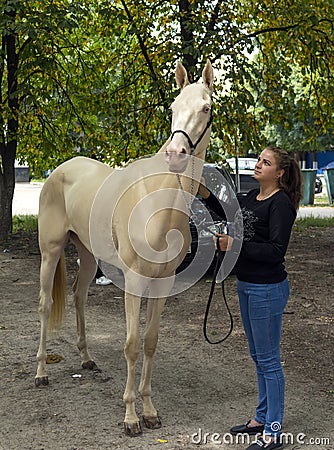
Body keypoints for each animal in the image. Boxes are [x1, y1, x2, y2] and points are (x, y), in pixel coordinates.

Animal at [35, 59, 215, 436]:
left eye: (206, 108)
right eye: (173, 107)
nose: (175, 155)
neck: (158, 201)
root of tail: (61, 169)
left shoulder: (162, 283)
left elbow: (150, 342)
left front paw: (149, 411)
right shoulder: (134, 281)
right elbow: (131, 345)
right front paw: (131, 417)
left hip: (88, 257)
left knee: (78, 296)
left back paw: (86, 358)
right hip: (51, 252)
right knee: (45, 305)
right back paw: (41, 372)